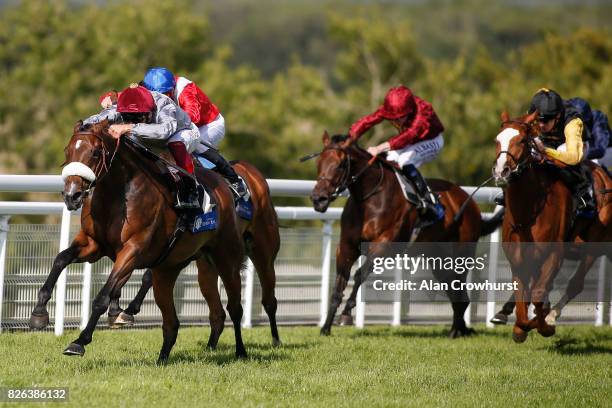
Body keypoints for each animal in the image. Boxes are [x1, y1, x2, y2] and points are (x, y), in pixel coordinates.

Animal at [28, 120, 249, 360]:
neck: (117, 197)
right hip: (176, 263)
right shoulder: (93, 244)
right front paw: (39, 314)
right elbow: (60, 259)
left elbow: (102, 297)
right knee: (173, 317)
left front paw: (80, 341)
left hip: (226, 257)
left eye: (95, 152)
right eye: (67, 151)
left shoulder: (134, 249)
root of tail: (223, 187)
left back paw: (241, 351)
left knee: (235, 307)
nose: (72, 195)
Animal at [110, 161, 282, 346]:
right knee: (217, 310)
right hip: (210, 264)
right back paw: (211, 346)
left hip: (263, 251)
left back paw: (276, 339)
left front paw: (128, 309)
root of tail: (252, 171)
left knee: (269, 299)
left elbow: (146, 275)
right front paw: (118, 309)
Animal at [308, 132, 504, 336]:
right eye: (319, 163)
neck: (370, 199)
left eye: (340, 165)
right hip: (437, 258)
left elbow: (360, 275)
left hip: (461, 254)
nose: (318, 199)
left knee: (460, 293)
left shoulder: (383, 244)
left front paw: (346, 314)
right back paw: (459, 330)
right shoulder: (347, 246)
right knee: (456, 292)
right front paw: (325, 328)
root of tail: (470, 203)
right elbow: (339, 283)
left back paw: (456, 331)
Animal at [492, 110, 612, 342]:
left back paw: (551, 315)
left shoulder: (555, 254)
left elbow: (538, 295)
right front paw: (520, 327)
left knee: (575, 284)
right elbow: (524, 301)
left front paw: (545, 325)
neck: (528, 211)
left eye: (522, 140)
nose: (502, 171)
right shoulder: (517, 260)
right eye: (496, 140)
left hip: (593, 245)